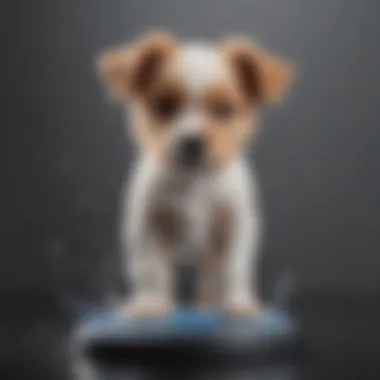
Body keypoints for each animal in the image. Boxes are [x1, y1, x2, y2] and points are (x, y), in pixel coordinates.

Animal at [98, 31, 294, 316]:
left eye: (223, 109)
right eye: (165, 106)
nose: (192, 142)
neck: (194, 182)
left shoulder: (236, 225)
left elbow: (234, 269)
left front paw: (237, 304)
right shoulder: (147, 224)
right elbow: (150, 269)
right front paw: (151, 303)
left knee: (212, 277)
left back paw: (211, 303)